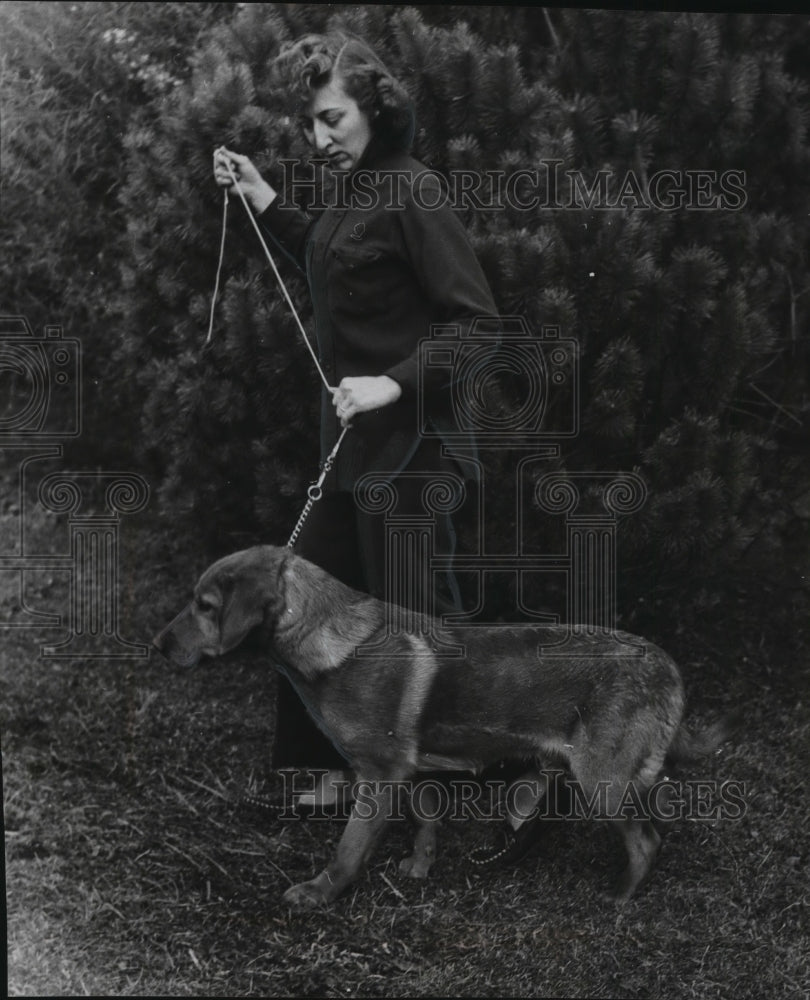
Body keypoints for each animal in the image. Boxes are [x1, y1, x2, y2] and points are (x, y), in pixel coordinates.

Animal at [150, 544, 732, 912]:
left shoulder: (380, 773)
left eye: (205, 607)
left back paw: (619, 897)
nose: (157, 645)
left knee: (646, 841)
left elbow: (349, 848)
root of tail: (670, 667)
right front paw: (419, 866)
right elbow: (426, 819)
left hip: (603, 781)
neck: (323, 636)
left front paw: (319, 894)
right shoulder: (410, 769)